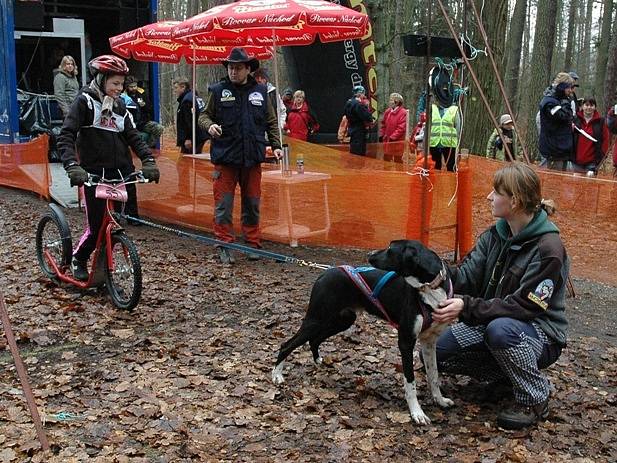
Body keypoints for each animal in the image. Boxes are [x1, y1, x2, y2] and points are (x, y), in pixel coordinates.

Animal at [272, 241, 454, 426]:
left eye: (390, 249)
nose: (370, 254)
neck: (429, 288)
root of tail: (325, 272)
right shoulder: (406, 341)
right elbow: (410, 382)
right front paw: (417, 413)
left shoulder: (429, 341)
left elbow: (433, 375)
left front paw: (439, 399)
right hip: (317, 318)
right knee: (287, 344)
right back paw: (277, 375)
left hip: (341, 320)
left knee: (314, 340)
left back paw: (318, 360)